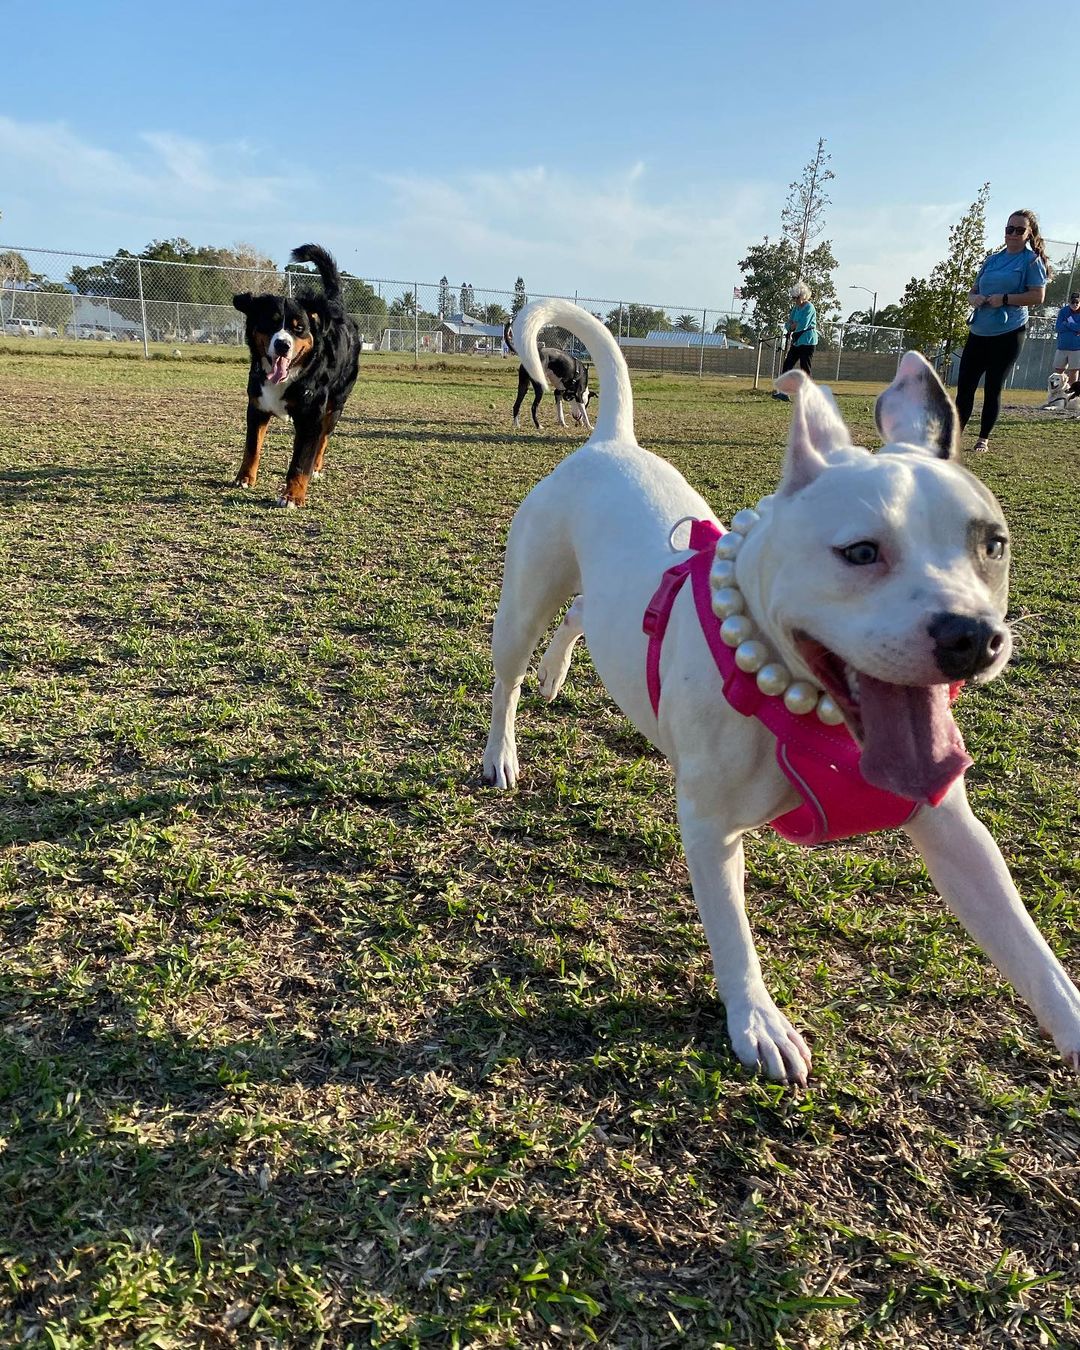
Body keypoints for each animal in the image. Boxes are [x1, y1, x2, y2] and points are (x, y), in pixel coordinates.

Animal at [486, 298, 1080, 1085]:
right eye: (860, 552)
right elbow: (733, 936)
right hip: (524, 601)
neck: (805, 707)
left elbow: (1033, 953)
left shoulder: (953, 828)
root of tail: (610, 441)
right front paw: (758, 1023)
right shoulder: (711, 827)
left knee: (585, 614)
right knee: (508, 677)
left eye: (994, 545)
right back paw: (501, 750)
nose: (972, 636)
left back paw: (556, 675)